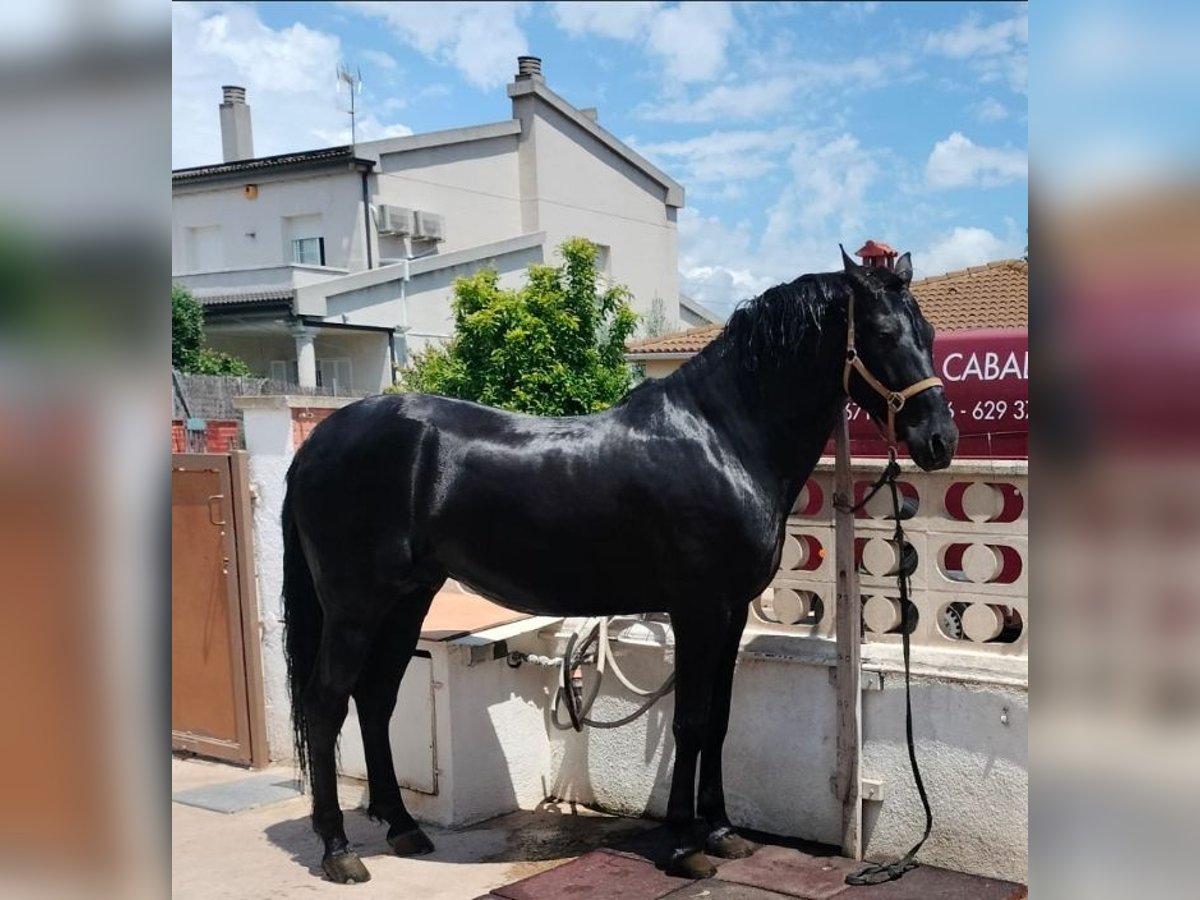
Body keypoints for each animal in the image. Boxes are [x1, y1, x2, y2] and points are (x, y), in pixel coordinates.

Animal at [278, 250, 955, 883]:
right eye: (884, 333)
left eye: (928, 333)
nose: (940, 441)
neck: (722, 438)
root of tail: (317, 444)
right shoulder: (697, 609)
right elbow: (691, 720)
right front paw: (684, 845)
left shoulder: (731, 611)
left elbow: (720, 721)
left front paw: (722, 833)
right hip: (354, 605)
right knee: (326, 702)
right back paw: (339, 851)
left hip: (406, 598)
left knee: (375, 698)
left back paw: (403, 828)